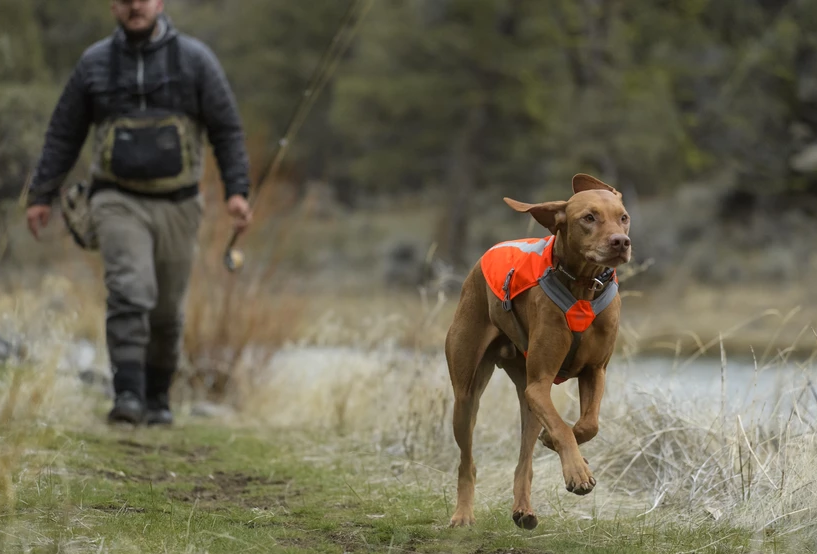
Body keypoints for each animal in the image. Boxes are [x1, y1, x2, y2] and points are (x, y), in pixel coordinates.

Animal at [446, 172, 632, 528]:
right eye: (589, 218)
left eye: (623, 217)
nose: (621, 242)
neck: (582, 287)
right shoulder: (540, 382)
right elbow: (562, 427)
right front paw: (577, 473)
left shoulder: (595, 371)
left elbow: (587, 424)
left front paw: (563, 450)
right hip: (467, 396)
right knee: (467, 461)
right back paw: (463, 514)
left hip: (527, 400)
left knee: (524, 461)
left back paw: (524, 509)